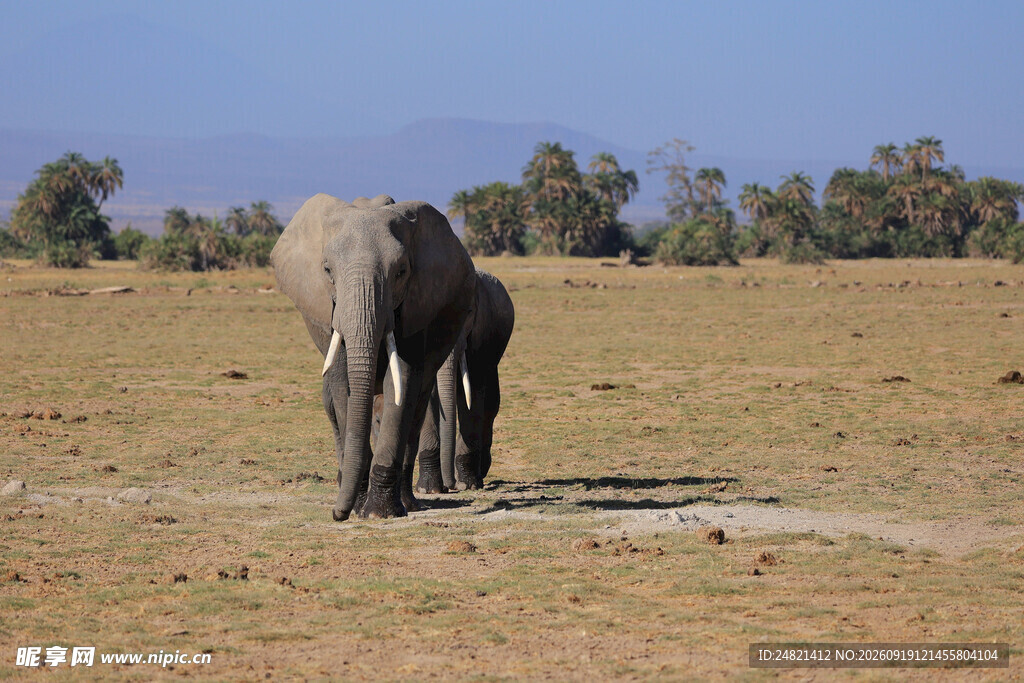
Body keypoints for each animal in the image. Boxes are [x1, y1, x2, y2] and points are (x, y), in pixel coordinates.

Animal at [270, 193, 475, 520]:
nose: (336, 514)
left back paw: (408, 503)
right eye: (327, 271)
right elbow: (342, 387)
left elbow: (401, 380)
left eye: (401, 271)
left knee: (416, 408)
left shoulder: (414, 305)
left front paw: (379, 513)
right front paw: (356, 507)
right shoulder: (330, 315)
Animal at [415, 268, 515, 493]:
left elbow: (473, 394)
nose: (449, 485)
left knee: (490, 406)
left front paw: (467, 485)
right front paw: (429, 489)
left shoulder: (481, 333)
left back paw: (479, 474)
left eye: (468, 313)